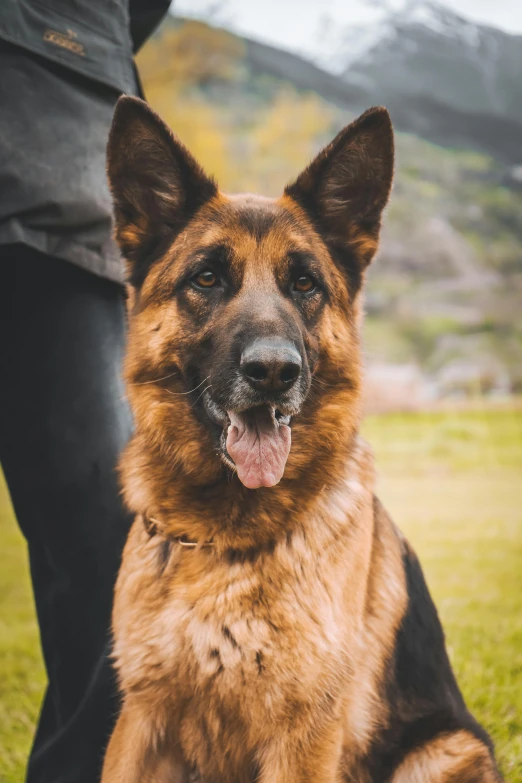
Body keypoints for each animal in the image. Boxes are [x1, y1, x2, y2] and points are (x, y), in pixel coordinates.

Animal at [101, 98, 500, 783]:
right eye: (207, 278)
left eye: (305, 285)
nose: (273, 371)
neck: (223, 546)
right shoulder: (141, 725)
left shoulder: (302, 741)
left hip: (442, 752)